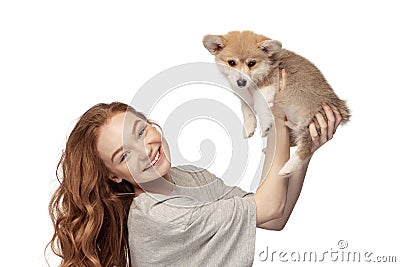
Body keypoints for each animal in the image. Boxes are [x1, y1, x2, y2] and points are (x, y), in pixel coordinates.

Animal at [203, 30, 350, 177]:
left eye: (252, 63)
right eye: (231, 62)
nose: (241, 82)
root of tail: (342, 109)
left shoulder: (267, 86)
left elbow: (259, 104)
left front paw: (265, 126)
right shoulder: (245, 95)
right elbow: (246, 109)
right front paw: (249, 128)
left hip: (312, 121)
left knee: (306, 148)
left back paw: (287, 168)